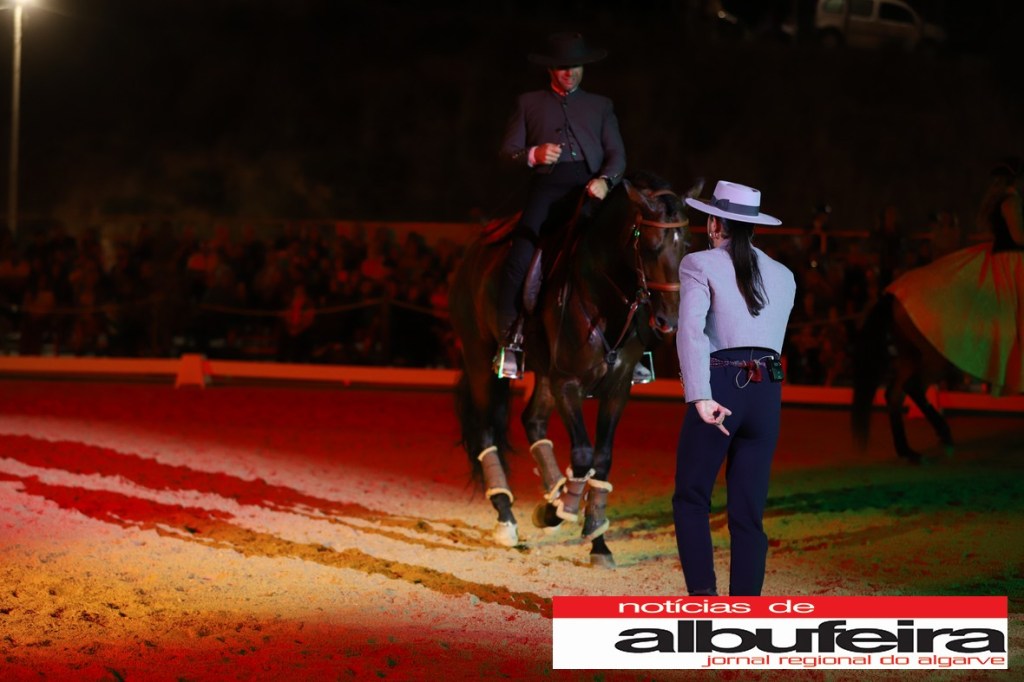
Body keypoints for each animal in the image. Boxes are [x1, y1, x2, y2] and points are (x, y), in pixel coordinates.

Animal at [448, 171, 689, 567]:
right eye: (650, 245)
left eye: (686, 245)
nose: (669, 320)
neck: (600, 295)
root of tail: (471, 255)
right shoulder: (568, 383)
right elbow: (582, 454)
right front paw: (556, 512)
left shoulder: (617, 387)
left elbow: (601, 460)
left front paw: (596, 538)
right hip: (480, 358)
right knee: (485, 433)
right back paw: (508, 518)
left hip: (545, 371)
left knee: (532, 420)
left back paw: (555, 493)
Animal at [851, 294, 955, 463]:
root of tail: (893, 297)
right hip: (935, 357)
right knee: (912, 386)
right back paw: (943, 434)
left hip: (911, 357)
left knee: (895, 394)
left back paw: (907, 451)